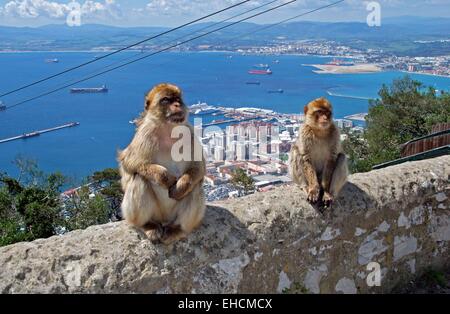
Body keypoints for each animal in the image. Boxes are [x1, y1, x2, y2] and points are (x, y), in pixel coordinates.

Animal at [118, 84, 206, 245]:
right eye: (166, 100)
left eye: (177, 99)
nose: (177, 104)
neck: (168, 129)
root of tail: (164, 220)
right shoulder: (145, 134)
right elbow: (129, 163)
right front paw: (164, 178)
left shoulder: (189, 132)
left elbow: (199, 166)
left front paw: (180, 186)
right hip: (155, 213)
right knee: (140, 178)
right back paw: (147, 225)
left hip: (174, 215)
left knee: (195, 185)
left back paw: (178, 228)